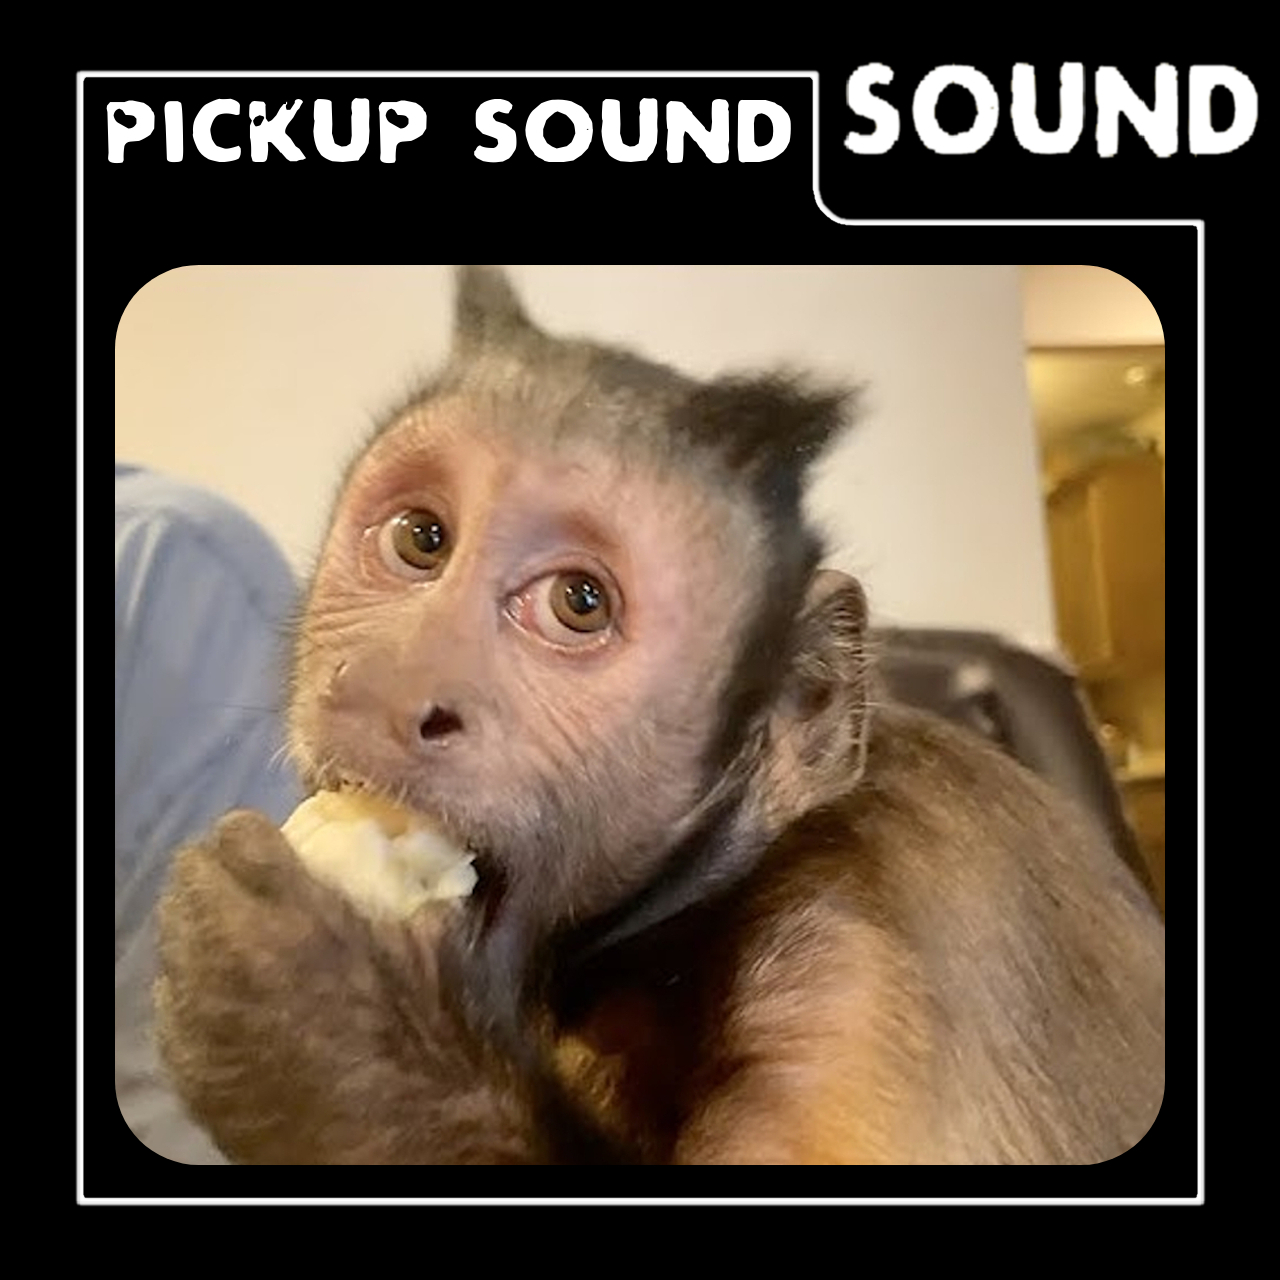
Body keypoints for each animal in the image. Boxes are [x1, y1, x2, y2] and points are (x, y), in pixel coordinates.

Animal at [153, 265, 1165, 1166]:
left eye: (578, 603)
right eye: (420, 540)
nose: (392, 687)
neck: (684, 918)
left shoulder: (877, 945)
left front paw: (329, 1019)